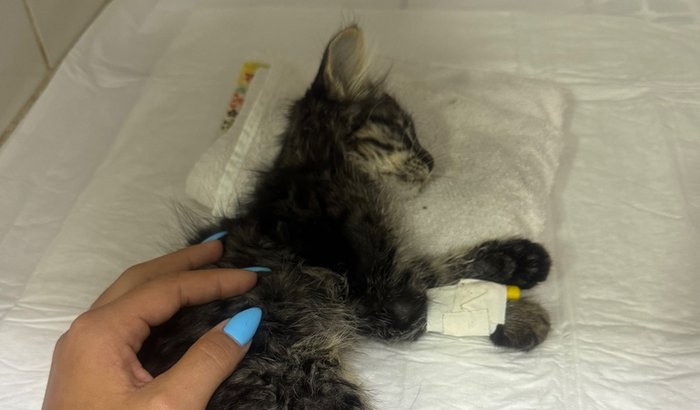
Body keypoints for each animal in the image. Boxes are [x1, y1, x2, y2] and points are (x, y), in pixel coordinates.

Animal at [139, 25, 551, 409]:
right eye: (405, 132)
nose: (431, 162)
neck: (327, 170)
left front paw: (516, 271)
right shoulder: (385, 295)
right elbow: (434, 273)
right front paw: (517, 301)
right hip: (299, 376)